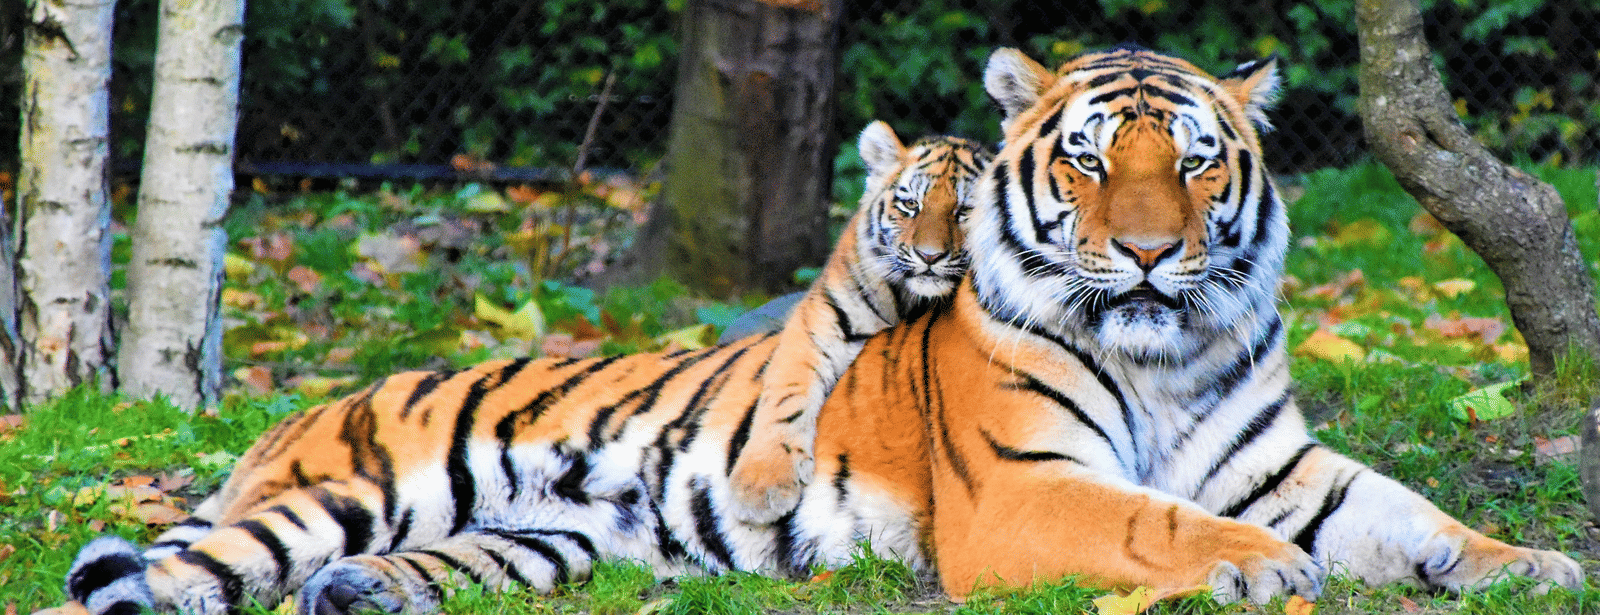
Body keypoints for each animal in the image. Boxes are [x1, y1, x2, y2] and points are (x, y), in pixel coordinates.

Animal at [726, 121, 989, 523]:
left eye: (964, 210)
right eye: (911, 204)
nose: (929, 256)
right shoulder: (821, 317)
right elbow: (786, 392)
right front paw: (761, 486)